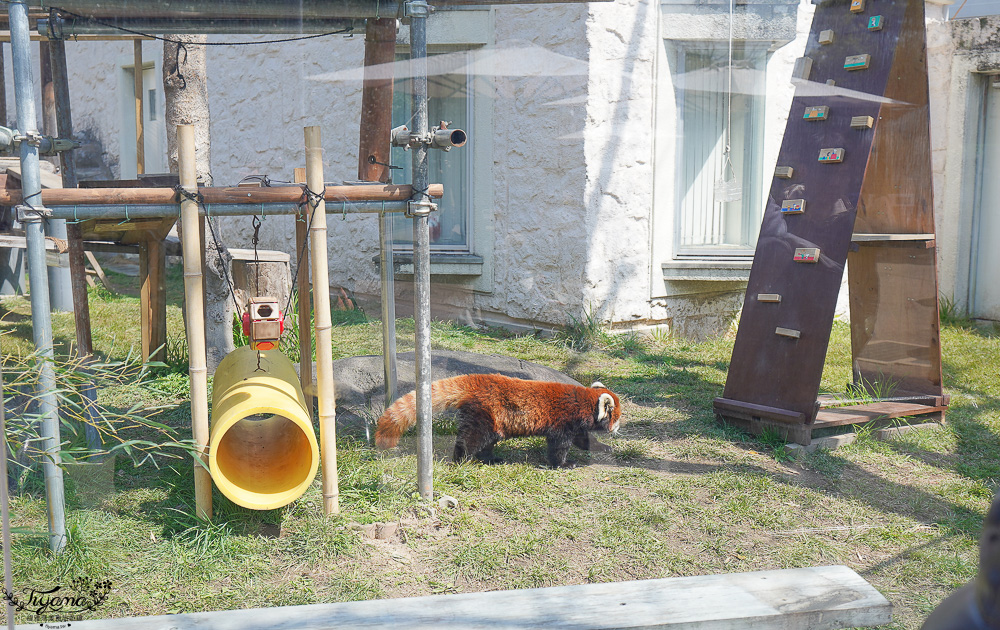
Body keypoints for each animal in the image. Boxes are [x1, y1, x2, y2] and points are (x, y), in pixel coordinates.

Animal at [378, 376, 620, 470]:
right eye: (617, 417)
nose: (618, 429)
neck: (582, 402)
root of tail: (475, 381)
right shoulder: (563, 422)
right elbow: (558, 446)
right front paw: (563, 464)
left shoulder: (576, 426)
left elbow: (584, 440)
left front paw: (604, 447)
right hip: (484, 414)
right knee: (472, 439)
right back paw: (461, 460)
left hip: (493, 421)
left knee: (488, 441)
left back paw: (491, 459)